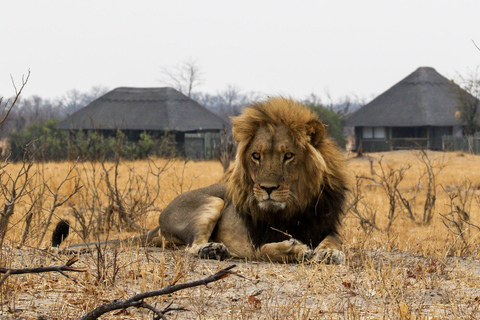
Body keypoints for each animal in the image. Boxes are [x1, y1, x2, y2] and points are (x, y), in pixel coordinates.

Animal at [58, 97, 346, 262]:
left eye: (288, 156)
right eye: (256, 156)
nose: (267, 189)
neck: (291, 210)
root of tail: (157, 223)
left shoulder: (326, 226)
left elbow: (333, 241)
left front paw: (329, 252)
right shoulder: (250, 245)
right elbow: (267, 250)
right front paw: (294, 249)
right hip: (212, 203)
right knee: (191, 247)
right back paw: (212, 250)